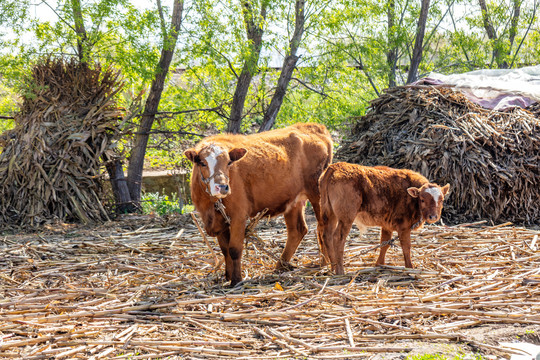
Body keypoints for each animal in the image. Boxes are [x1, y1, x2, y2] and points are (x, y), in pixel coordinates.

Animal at [185, 124, 334, 286]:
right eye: (202, 163)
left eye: (229, 162)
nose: (222, 187)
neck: (210, 206)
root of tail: (313, 126)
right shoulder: (219, 221)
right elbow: (225, 250)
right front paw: (228, 276)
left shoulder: (238, 215)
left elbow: (234, 249)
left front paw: (236, 280)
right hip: (294, 201)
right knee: (297, 230)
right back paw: (281, 266)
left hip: (317, 194)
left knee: (323, 228)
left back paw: (325, 264)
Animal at [318, 163, 450, 276]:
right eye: (422, 199)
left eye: (441, 199)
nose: (433, 217)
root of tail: (334, 167)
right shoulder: (404, 227)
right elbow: (406, 246)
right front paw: (410, 267)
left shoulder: (387, 225)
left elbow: (384, 244)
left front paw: (379, 264)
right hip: (346, 218)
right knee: (338, 238)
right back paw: (340, 270)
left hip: (330, 214)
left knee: (326, 236)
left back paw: (333, 267)